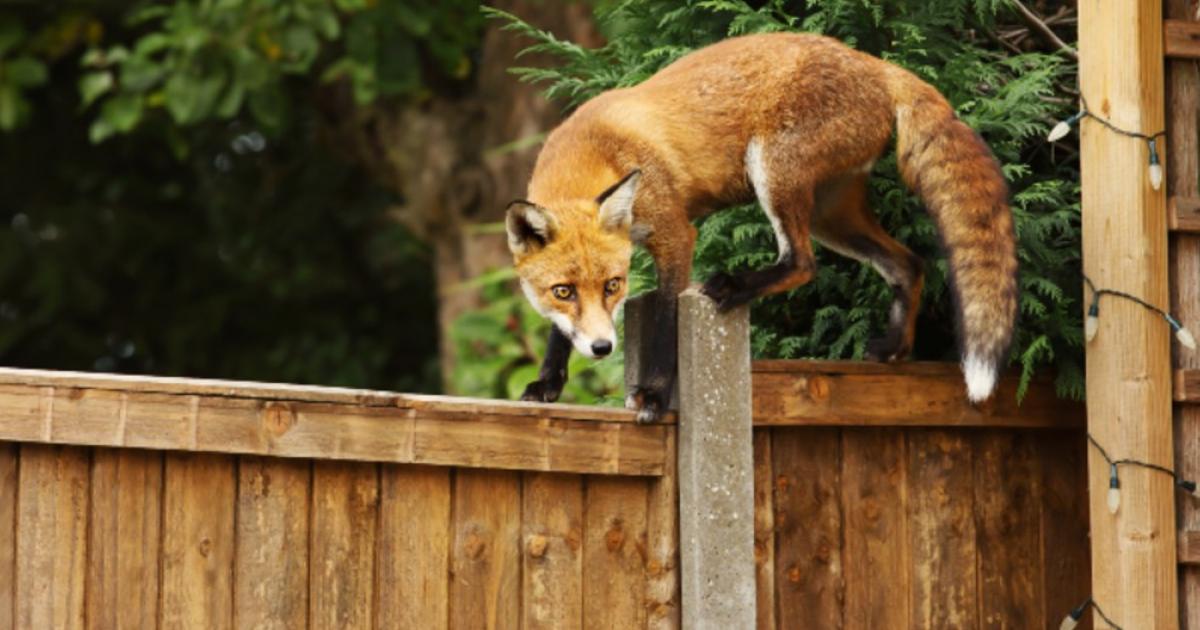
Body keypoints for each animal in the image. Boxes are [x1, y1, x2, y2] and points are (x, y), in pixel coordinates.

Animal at [505, 32, 1017, 423]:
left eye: (614, 285)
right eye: (563, 291)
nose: (602, 347)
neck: (597, 149)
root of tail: (876, 63)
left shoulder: (676, 235)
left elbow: (668, 321)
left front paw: (654, 394)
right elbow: (559, 331)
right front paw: (548, 383)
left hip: (773, 173)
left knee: (803, 263)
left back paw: (735, 286)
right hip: (832, 215)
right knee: (908, 264)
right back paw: (895, 347)